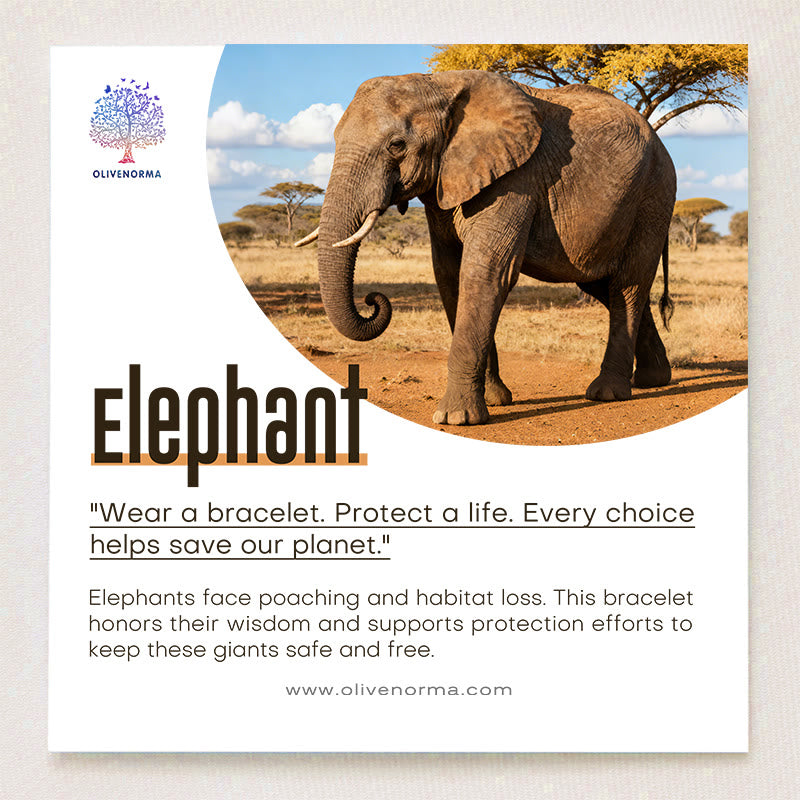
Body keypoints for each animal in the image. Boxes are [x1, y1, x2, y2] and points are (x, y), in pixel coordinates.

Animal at [295, 70, 677, 425]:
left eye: (397, 145)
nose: (372, 300)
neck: (439, 85)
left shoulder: (516, 178)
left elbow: (487, 272)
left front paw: (456, 419)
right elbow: (448, 273)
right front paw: (495, 401)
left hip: (653, 196)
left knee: (627, 285)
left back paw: (608, 393)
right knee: (603, 285)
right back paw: (654, 380)